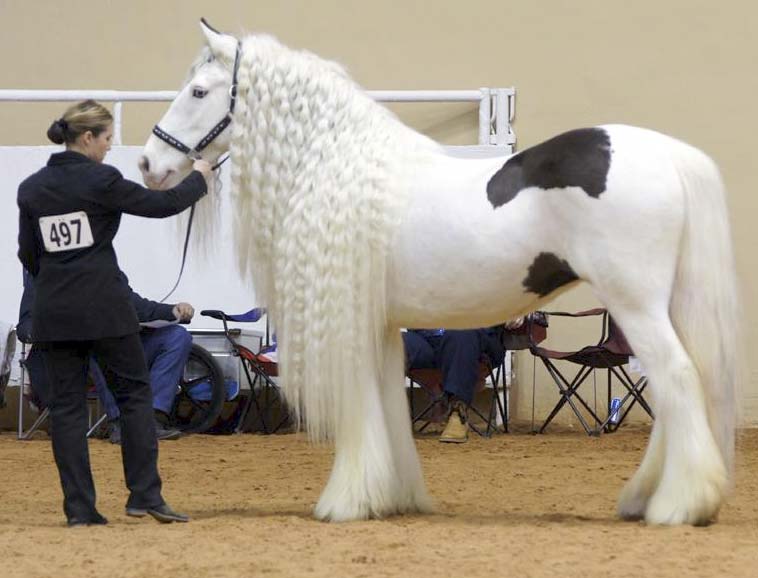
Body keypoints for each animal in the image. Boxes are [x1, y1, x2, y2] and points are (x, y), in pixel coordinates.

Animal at [140, 20, 741, 526]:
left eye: (199, 93)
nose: (148, 164)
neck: (336, 163)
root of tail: (670, 154)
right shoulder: (383, 324)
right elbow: (387, 403)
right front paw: (392, 495)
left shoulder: (347, 320)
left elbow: (361, 407)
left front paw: (345, 502)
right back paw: (648, 497)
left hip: (636, 304)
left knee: (678, 379)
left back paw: (679, 504)